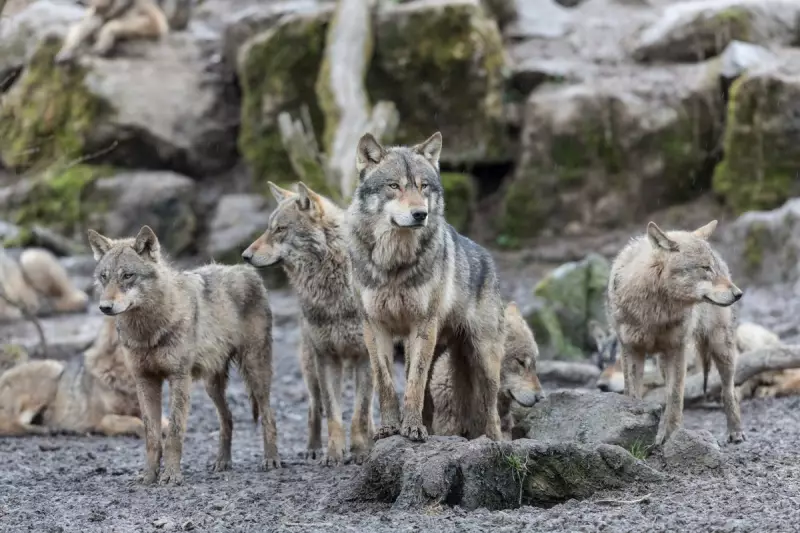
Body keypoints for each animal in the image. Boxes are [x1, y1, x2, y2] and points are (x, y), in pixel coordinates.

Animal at [0, 316, 169, 438]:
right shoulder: (102, 420)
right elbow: (132, 421)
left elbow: (164, 421)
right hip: (50, 375)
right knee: (8, 423)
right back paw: (45, 430)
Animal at [87, 225, 279, 485]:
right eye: (104, 277)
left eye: (128, 276)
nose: (105, 307)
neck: (148, 331)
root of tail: (247, 270)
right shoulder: (145, 381)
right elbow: (151, 435)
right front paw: (149, 475)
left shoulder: (179, 378)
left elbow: (175, 432)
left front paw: (171, 475)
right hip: (211, 386)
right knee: (227, 418)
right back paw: (222, 463)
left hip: (255, 373)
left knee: (269, 415)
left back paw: (271, 460)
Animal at [241, 181, 375, 466]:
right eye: (269, 228)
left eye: (280, 229)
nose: (245, 255)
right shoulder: (326, 356)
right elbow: (333, 414)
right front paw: (333, 454)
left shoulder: (366, 357)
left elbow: (360, 412)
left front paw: (360, 451)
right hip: (310, 365)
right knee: (315, 406)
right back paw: (313, 448)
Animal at [346, 131, 506, 443]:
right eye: (394, 186)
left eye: (424, 186)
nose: (420, 214)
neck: (394, 264)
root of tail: (488, 258)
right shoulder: (374, 326)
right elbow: (385, 383)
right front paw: (389, 428)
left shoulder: (421, 325)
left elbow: (413, 383)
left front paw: (411, 428)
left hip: (483, 359)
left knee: (491, 409)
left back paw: (494, 442)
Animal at [607, 220, 745, 445]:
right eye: (705, 268)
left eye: (714, 268)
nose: (738, 294)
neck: (655, 312)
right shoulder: (630, 349)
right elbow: (632, 394)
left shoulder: (677, 350)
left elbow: (674, 397)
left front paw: (672, 437)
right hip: (663, 362)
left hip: (721, 348)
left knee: (729, 390)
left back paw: (735, 431)